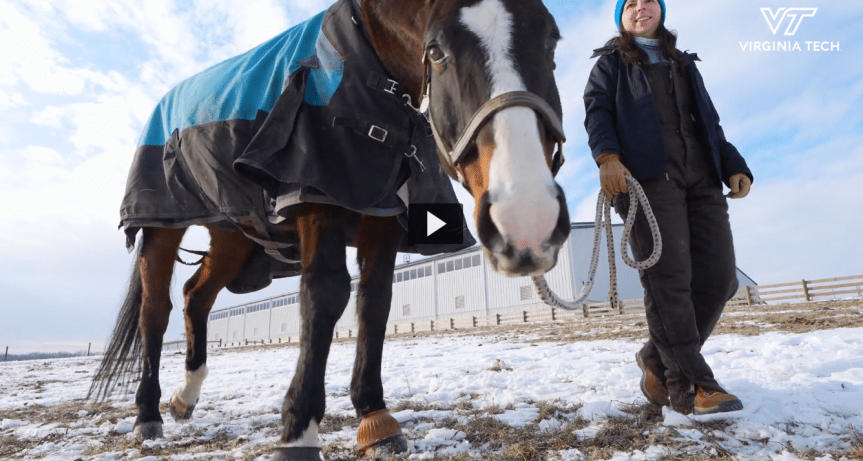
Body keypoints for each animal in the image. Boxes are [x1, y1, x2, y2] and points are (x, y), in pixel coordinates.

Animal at [90, 0, 568, 459]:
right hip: (160, 226)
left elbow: (375, 304)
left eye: (552, 40)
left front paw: (375, 419)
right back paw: (147, 415)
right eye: (436, 52)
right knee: (156, 312)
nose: (527, 216)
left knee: (196, 297)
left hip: (232, 236)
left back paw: (184, 397)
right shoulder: (317, 197)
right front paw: (299, 430)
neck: (369, 65)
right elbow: (325, 296)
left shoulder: (384, 216)